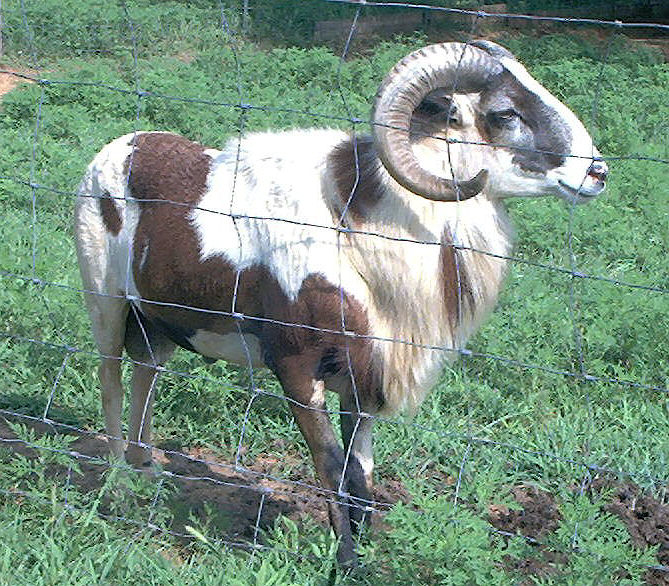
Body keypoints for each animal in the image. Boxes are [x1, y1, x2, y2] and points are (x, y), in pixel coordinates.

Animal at [74, 40, 608, 566]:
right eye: (503, 113)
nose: (597, 172)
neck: (358, 238)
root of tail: (118, 149)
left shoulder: (364, 379)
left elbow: (362, 473)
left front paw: (367, 553)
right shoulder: (296, 370)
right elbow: (331, 468)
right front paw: (346, 561)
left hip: (157, 323)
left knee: (146, 374)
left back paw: (146, 470)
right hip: (105, 302)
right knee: (110, 381)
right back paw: (119, 487)